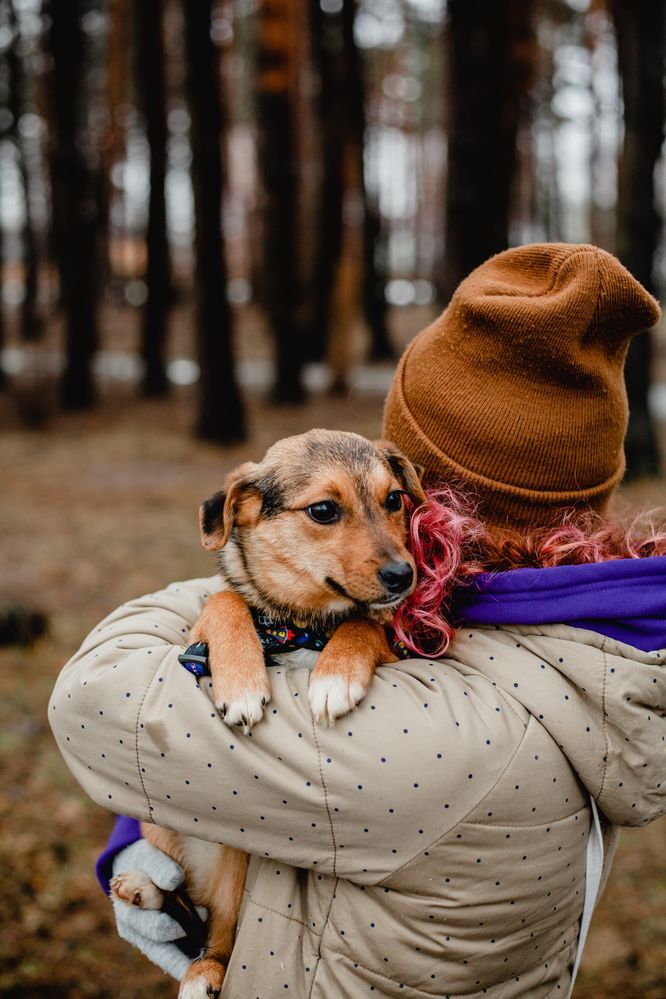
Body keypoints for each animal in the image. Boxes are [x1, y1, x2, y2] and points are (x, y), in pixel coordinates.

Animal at [109, 430, 420, 999]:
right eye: (323, 510)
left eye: (394, 499)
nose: (403, 575)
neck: (303, 625)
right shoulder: (198, 636)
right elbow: (227, 601)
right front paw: (242, 683)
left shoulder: (400, 648)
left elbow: (368, 623)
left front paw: (335, 674)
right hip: (215, 845)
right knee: (213, 921)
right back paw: (176, 933)